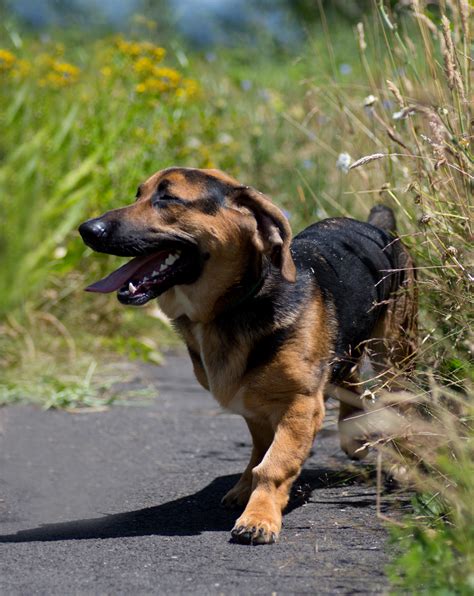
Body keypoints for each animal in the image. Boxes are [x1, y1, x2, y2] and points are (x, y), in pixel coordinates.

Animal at [79, 166, 416, 544]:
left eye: (167, 198)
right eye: (139, 194)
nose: (87, 229)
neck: (235, 305)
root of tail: (375, 225)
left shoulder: (301, 404)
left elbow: (273, 464)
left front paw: (260, 516)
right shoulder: (254, 405)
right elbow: (260, 453)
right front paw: (246, 489)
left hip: (394, 352)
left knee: (400, 398)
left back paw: (401, 462)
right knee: (350, 375)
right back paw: (353, 433)